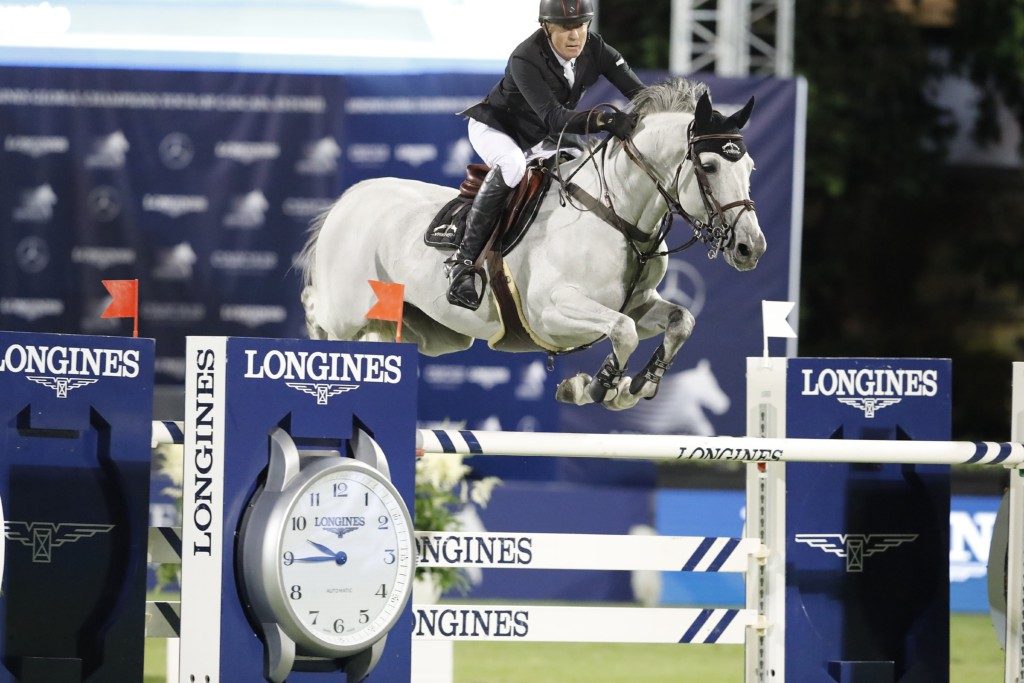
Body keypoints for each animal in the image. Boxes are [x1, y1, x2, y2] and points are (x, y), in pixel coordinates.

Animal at [299, 80, 765, 411]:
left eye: (750, 167)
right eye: (709, 166)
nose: (751, 248)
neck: (615, 214)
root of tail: (347, 200)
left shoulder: (638, 302)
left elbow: (679, 321)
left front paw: (637, 384)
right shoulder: (551, 311)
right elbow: (623, 331)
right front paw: (596, 387)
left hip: (430, 331)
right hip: (346, 309)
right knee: (316, 308)